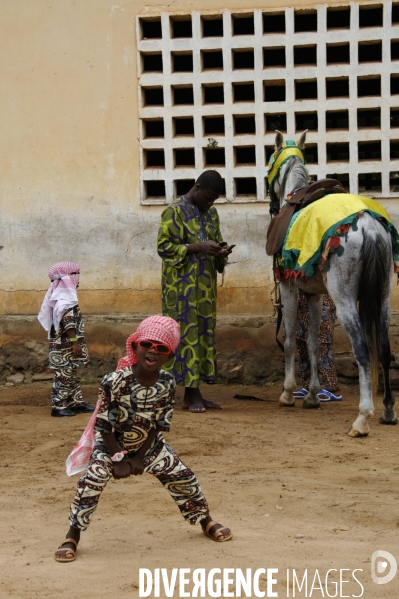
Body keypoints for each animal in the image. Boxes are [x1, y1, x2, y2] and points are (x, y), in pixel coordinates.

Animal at [272, 130, 396, 436]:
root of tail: (369, 226)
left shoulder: (289, 288)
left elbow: (290, 340)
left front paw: (288, 393)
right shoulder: (315, 294)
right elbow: (315, 343)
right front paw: (313, 395)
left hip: (345, 300)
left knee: (362, 348)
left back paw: (362, 418)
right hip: (384, 298)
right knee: (384, 348)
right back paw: (387, 410)